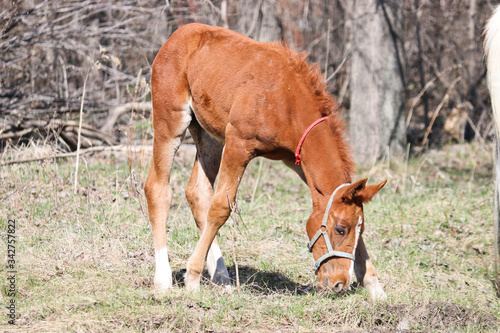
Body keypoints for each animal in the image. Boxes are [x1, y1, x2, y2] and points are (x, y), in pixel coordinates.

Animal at [145, 24, 386, 298]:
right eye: (340, 229)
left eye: (359, 230)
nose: (339, 282)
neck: (288, 102)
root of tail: (177, 34)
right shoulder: (238, 143)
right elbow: (221, 207)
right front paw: (193, 276)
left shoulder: (297, 162)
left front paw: (375, 287)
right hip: (171, 121)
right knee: (158, 189)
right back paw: (163, 279)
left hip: (209, 137)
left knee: (197, 193)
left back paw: (221, 276)